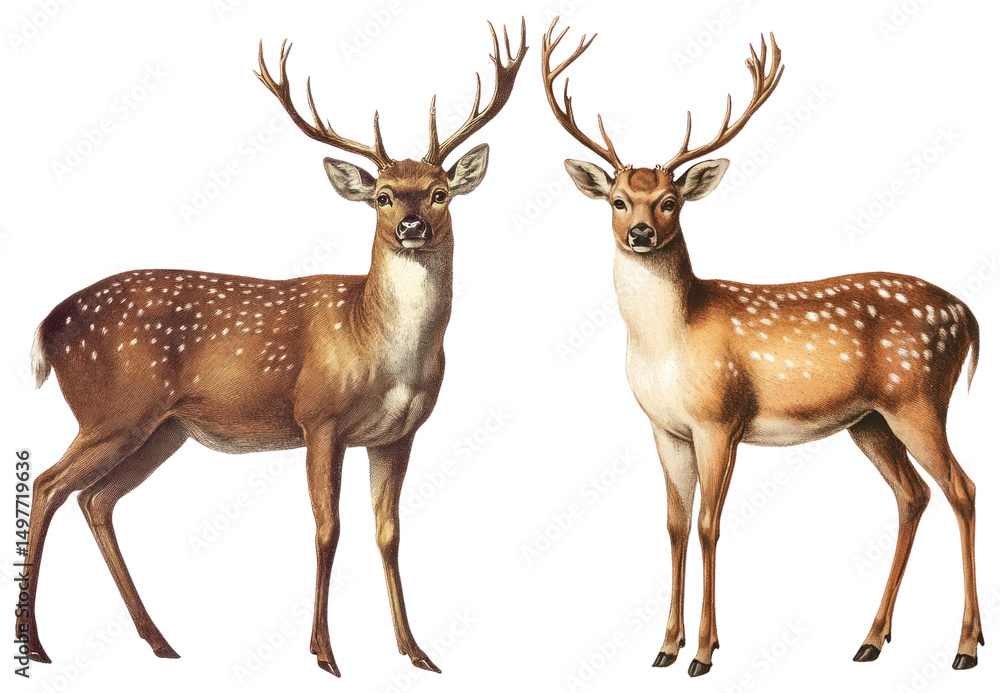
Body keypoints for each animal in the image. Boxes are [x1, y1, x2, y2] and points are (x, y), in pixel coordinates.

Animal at [17, 20, 526, 677]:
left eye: (440, 192)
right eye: (384, 195)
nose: (412, 226)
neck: (379, 344)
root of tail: (47, 325)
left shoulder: (398, 433)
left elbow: (388, 533)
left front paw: (416, 652)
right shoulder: (319, 419)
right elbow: (327, 529)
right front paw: (325, 653)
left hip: (162, 430)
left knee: (95, 499)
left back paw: (159, 642)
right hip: (113, 410)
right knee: (49, 484)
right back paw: (37, 644)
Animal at [542, 18, 983, 677]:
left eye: (669, 201)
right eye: (617, 200)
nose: (641, 232)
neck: (669, 343)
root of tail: (970, 316)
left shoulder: (720, 417)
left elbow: (708, 524)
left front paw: (704, 651)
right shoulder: (665, 427)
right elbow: (673, 525)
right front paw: (664, 647)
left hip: (919, 397)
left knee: (963, 489)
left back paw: (965, 647)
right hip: (871, 420)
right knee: (914, 494)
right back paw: (871, 640)